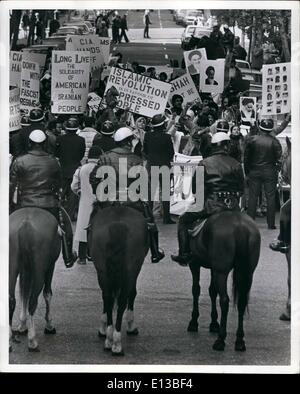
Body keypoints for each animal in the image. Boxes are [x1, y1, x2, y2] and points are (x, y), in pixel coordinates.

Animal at [8, 208, 60, 352]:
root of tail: (25, 224)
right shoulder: (50, 266)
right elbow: (47, 293)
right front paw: (49, 324)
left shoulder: (25, 269)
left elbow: (24, 292)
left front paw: (22, 325)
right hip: (40, 270)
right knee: (32, 301)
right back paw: (32, 341)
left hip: (12, 265)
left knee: (11, 300)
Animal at [89, 205, 150, 356]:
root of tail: (117, 225)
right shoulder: (135, 271)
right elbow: (132, 294)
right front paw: (131, 326)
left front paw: (103, 328)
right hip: (131, 270)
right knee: (122, 299)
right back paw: (116, 342)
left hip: (103, 271)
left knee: (108, 298)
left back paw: (110, 338)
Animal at [188, 211, 260, 352]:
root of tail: (240, 227)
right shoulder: (213, 268)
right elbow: (212, 291)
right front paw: (214, 323)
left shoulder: (195, 263)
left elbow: (196, 290)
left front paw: (194, 321)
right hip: (247, 272)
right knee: (242, 301)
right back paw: (239, 340)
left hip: (221, 271)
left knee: (225, 300)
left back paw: (220, 340)